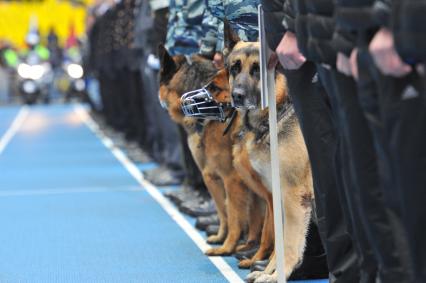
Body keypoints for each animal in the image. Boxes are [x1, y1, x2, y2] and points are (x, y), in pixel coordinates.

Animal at [156, 45, 264, 256]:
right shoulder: (216, 175)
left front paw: (228, 246)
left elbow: (231, 214)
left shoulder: (229, 178)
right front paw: (227, 239)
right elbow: (224, 212)